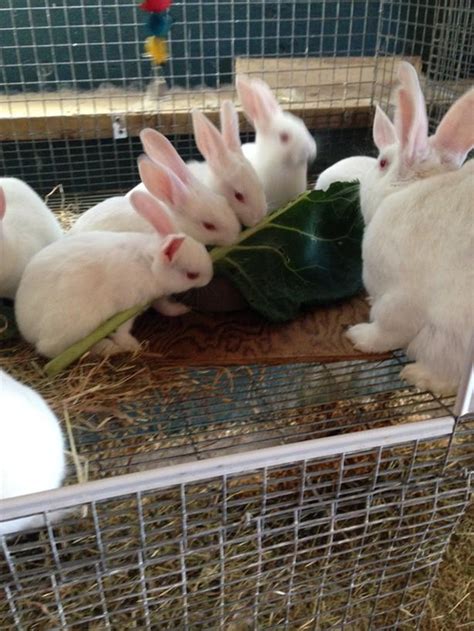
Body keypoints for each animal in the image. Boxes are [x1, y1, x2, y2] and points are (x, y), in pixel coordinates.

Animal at [15, 191, 213, 360]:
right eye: (192, 275)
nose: (209, 277)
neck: (149, 265)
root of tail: (25, 327)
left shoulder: (156, 297)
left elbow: (164, 305)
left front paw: (180, 309)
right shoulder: (128, 307)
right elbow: (123, 330)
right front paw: (133, 346)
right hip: (76, 329)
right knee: (57, 350)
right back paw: (109, 348)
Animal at [344, 61, 474, 396]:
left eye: (381, 163)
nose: (360, 187)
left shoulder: (401, 299)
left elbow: (387, 329)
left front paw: (358, 337)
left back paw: (419, 375)